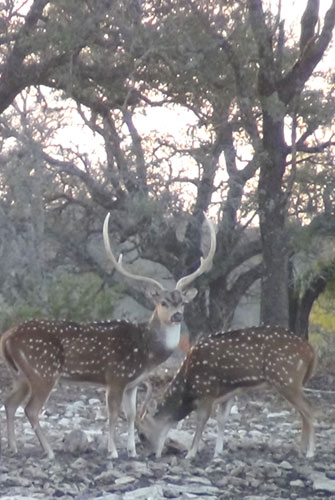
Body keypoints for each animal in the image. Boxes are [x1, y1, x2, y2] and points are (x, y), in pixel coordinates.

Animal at [1, 209, 217, 458]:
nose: (177, 316)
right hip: (43, 371)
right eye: (162, 302)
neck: (147, 351)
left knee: (10, 403)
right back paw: (49, 451)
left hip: (21, 375)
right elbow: (113, 413)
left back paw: (14, 447)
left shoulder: (132, 383)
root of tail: (7, 336)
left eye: (182, 302)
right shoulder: (116, 376)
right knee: (31, 409)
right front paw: (113, 451)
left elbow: (131, 414)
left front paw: (131, 451)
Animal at [137, 326, 318, 458]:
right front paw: (218, 451)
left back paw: (310, 452)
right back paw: (300, 449)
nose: (150, 454)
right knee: (303, 412)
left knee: (309, 408)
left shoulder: (208, 390)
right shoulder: (228, 393)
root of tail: (311, 351)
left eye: (142, 435)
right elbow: (221, 420)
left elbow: (202, 420)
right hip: (292, 383)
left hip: (287, 380)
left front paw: (191, 453)